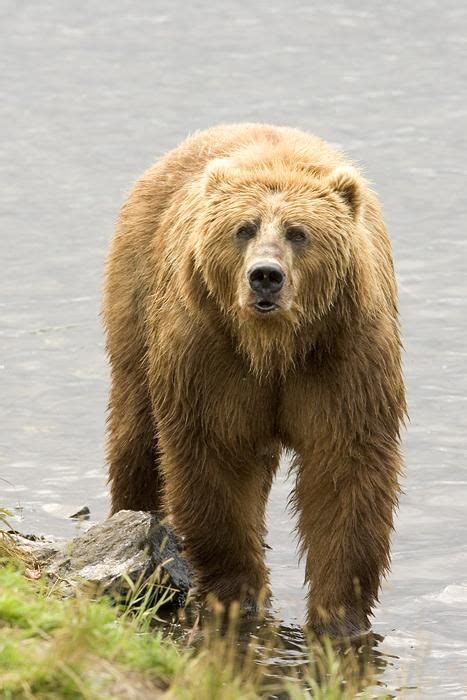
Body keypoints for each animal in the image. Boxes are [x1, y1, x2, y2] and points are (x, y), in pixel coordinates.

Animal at [103, 123, 406, 636]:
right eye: (243, 228)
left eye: (299, 233)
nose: (266, 276)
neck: (275, 347)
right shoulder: (210, 355)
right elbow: (213, 460)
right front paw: (238, 592)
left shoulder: (344, 357)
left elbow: (347, 470)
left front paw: (338, 615)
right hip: (138, 292)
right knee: (137, 429)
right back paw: (130, 516)